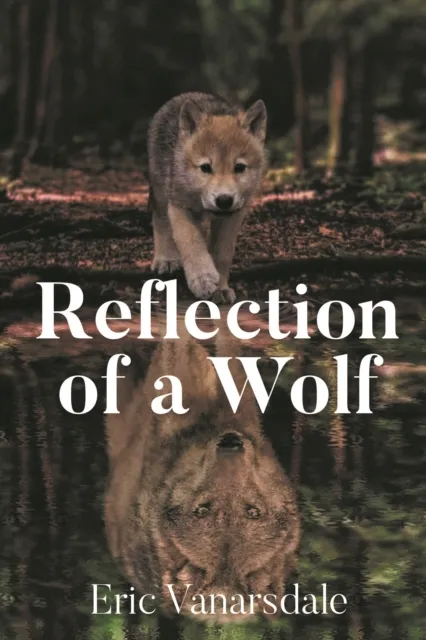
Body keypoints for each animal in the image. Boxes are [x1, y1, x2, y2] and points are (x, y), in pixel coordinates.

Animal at [147, 92, 268, 303]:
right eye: (205, 167)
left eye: (239, 167)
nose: (224, 200)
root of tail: (186, 94)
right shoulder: (178, 205)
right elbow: (190, 240)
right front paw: (202, 279)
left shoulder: (234, 214)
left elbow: (221, 253)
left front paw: (220, 288)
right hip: (161, 192)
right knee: (160, 221)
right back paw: (166, 259)